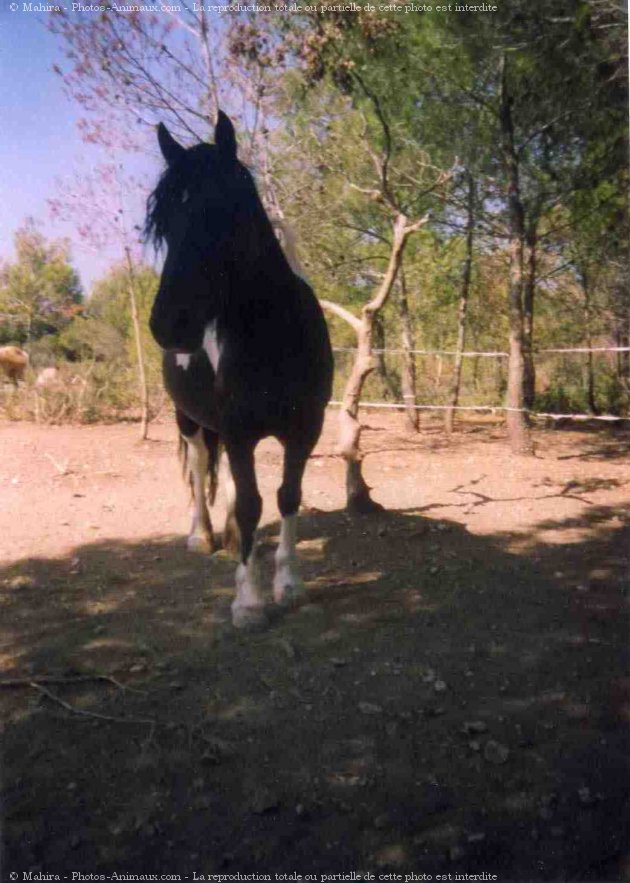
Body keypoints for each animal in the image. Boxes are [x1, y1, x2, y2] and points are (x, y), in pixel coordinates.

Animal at [148, 112, 336, 628]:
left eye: (222, 211)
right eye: (163, 224)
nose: (168, 324)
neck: (274, 336)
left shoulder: (304, 428)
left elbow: (287, 495)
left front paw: (288, 584)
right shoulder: (237, 429)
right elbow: (253, 502)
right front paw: (249, 602)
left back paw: (232, 538)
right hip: (190, 420)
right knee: (198, 468)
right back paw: (203, 536)